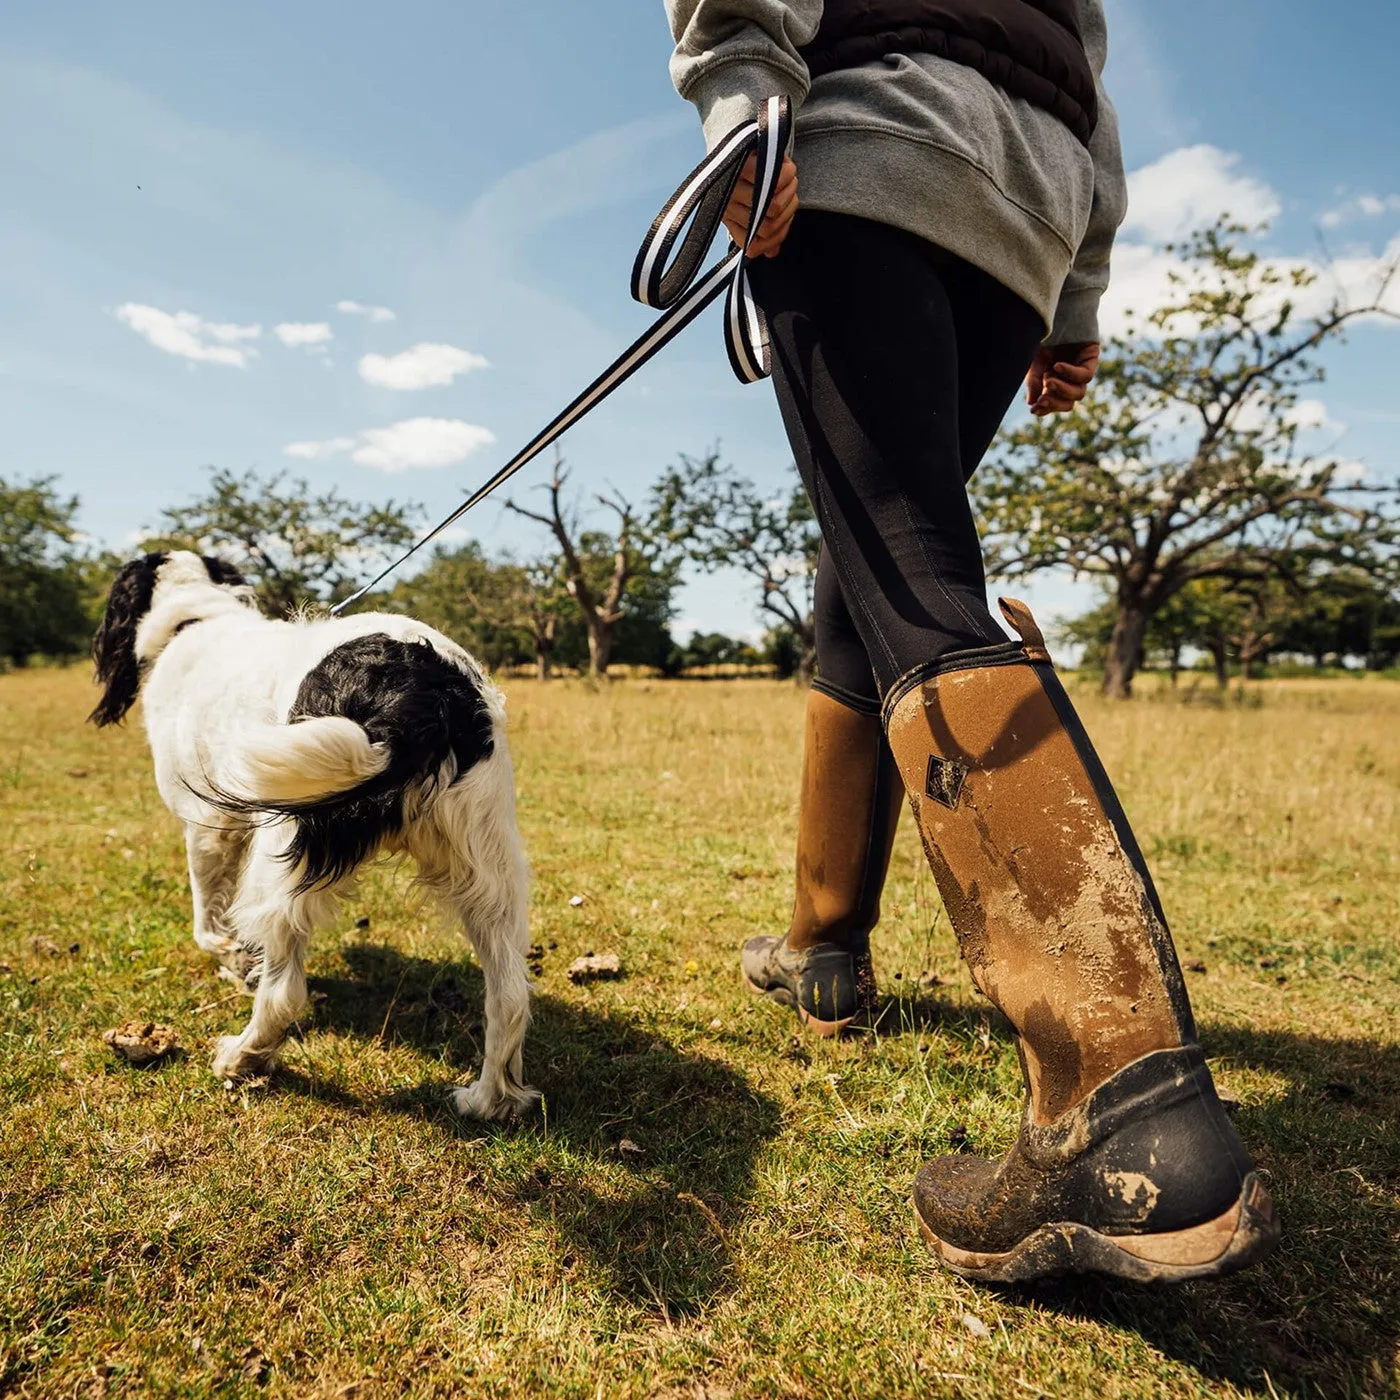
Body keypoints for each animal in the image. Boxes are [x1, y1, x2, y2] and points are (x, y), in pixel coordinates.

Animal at [88, 551, 534, 1120]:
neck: (197, 617)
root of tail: (415, 692)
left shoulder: (208, 829)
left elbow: (208, 925)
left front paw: (235, 961)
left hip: (281, 854)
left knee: (285, 991)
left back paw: (244, 1056)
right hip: (486, 868)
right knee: (509, 995)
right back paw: (489, 1100)